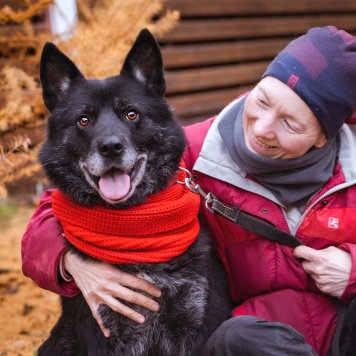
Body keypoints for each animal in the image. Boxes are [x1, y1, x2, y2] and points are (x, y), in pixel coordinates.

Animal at [38, 29, 231, 354]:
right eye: (83, 120)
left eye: (131, 114)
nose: (111, 147)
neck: (137, 226)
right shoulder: (102, 330)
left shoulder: (195, 323)